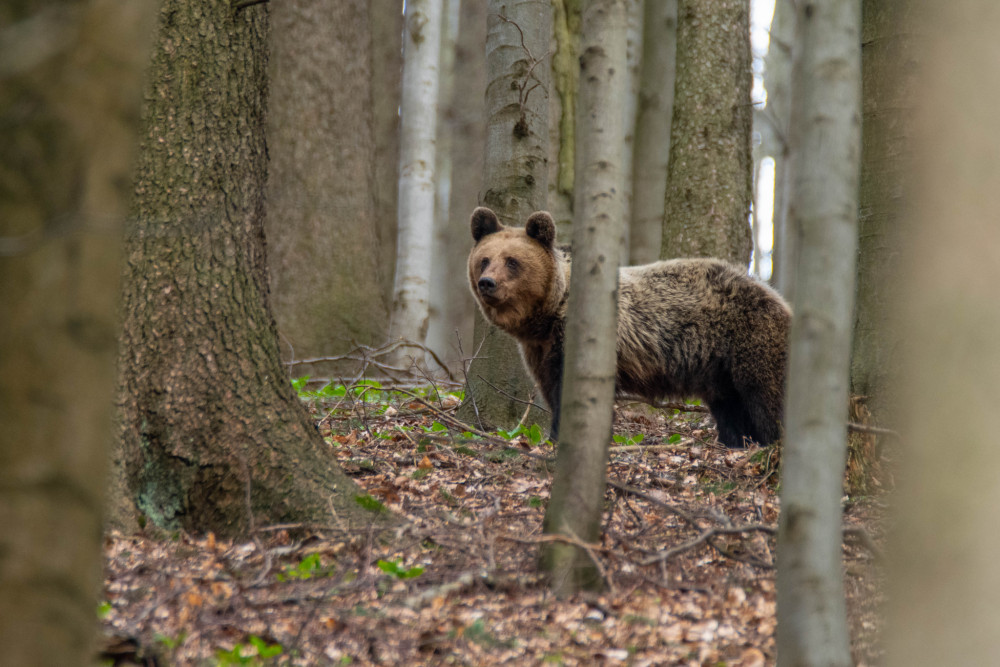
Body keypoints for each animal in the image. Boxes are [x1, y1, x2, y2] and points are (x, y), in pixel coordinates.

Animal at [468, 207, 788, 448]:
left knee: (767, 397)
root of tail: (776, 295)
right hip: (718, 367)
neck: (548, 314)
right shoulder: (540, 351)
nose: (487, 283)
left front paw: (561, 437)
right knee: (730, 406)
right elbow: (550, 387)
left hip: (750, 338)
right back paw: (738, 441)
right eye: (484, 259)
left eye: (512, 261)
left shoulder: (576, 339)